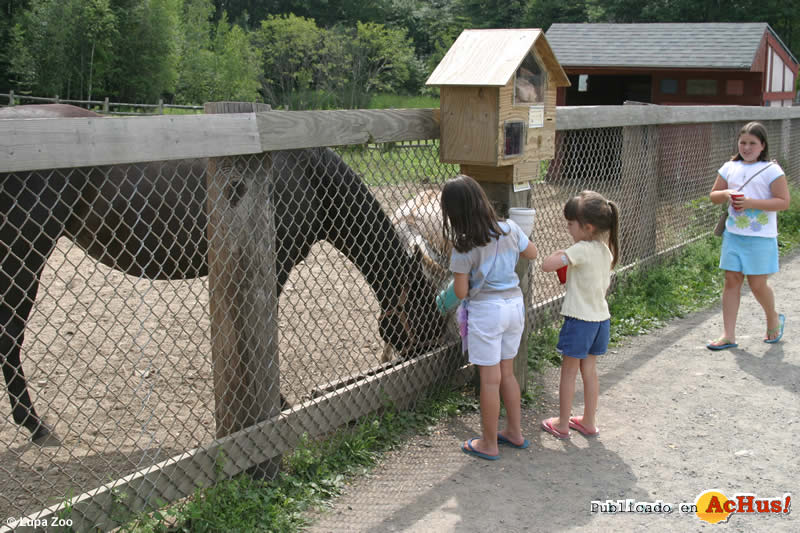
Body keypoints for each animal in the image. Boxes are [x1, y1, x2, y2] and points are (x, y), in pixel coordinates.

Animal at [3, 103, 446, 440]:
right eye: (425, 305)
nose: (427, 367)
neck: (308, 174)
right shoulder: (275, 265)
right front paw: (276, 403)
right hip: (24, 257)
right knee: (11, 337)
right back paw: (34, 425)